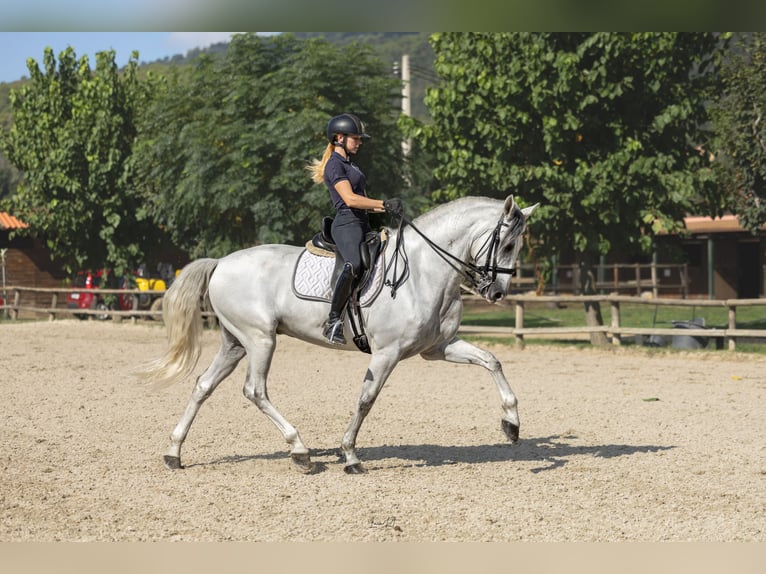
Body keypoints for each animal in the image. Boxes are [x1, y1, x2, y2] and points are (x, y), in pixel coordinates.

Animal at [141, 196, 544, 474]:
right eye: (508, 245)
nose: (497, 293)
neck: (424, 272)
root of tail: (221, 262)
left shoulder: (438, 347)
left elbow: (492, 361)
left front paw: (511, 424)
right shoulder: (387, 353)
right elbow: (366, 400)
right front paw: (350, 455)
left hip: (235, 342)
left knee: (203, 386)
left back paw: (174, 453)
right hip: (260, 339)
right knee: (255, 390)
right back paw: (300, 451)